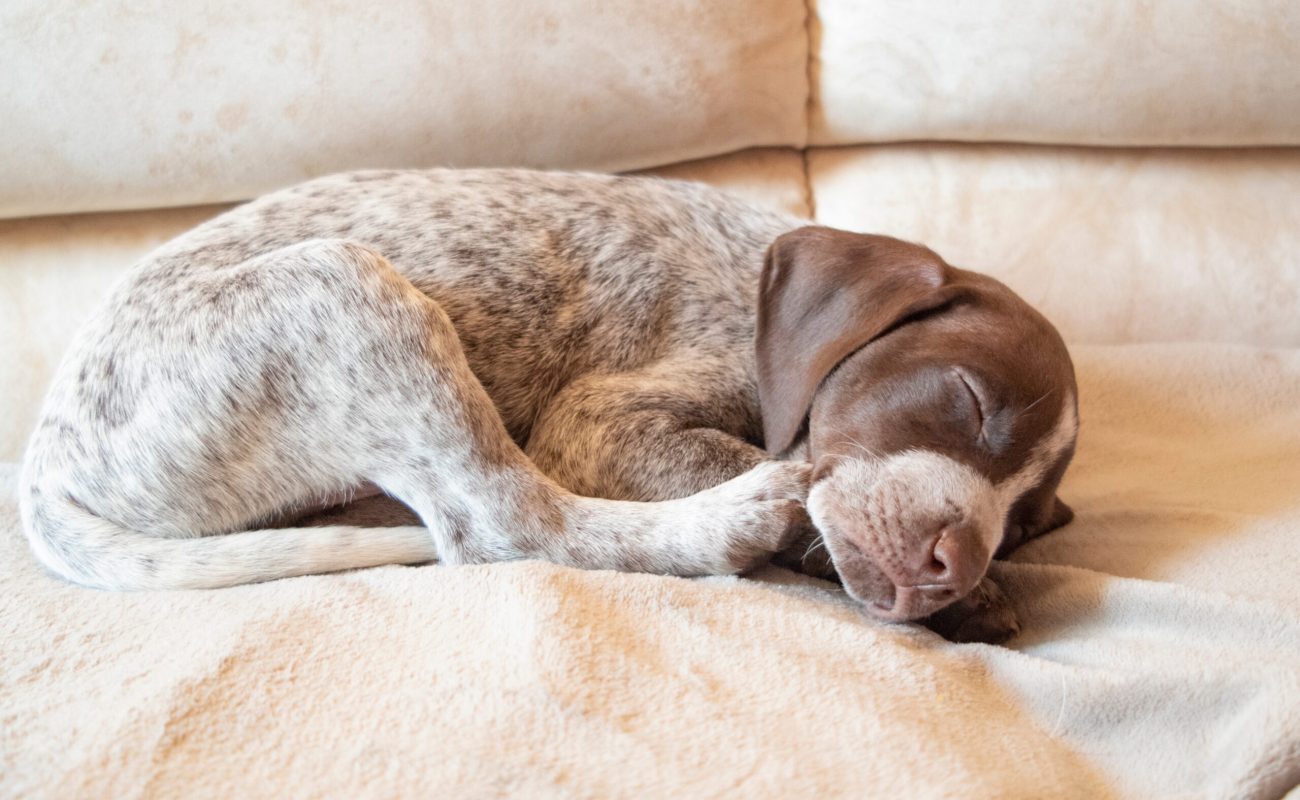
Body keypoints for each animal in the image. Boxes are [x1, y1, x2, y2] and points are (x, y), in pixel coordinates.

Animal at [20, 170, 1076, 645]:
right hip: (338, 283)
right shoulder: (601, 421)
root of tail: (41, 468)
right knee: (506, 524)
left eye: (1026, 526)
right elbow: (790, 473)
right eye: (967, 401)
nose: (956, 566)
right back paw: (727, 523)